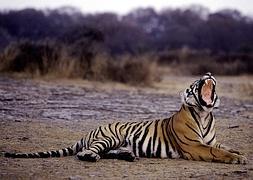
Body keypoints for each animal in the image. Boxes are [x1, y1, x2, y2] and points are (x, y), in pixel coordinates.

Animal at [2, 72, 247, 164]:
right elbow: (217, 152)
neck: (205, 114)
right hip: (109, 137)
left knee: (108, 152)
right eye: (195, 82)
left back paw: (128, 156)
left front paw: (239, 152)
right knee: (86, 152)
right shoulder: (194, 146)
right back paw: (92, 157)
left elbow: (224, 146)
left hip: (116, 142)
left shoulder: (211, 140)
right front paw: (238, 159)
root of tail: (90, 130)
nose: (208, 74)